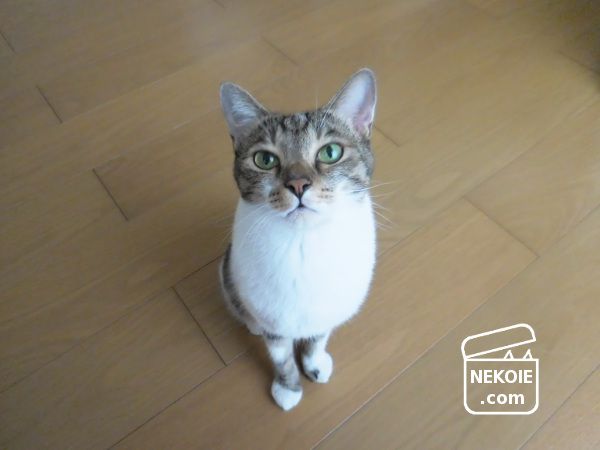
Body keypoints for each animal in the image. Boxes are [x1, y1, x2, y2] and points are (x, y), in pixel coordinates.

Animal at [219, 69, 377, 411]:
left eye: (330, 152)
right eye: (264, 159)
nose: (298, 184)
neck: (305, 244)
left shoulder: (327, 307)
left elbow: (318, 338)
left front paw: (315, 364)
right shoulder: (275, 319)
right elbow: (281, 358)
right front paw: (288, 389)